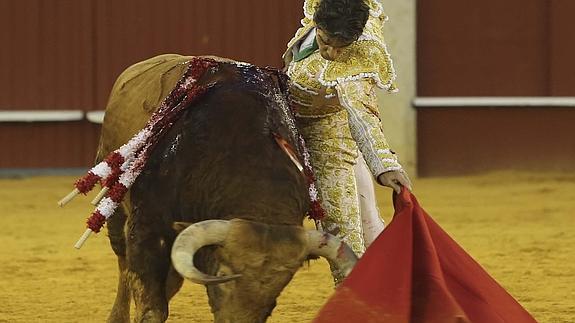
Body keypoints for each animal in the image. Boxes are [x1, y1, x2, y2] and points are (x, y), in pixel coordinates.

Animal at [97, 54, 358, 322]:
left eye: (280, 286)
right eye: (222, 275)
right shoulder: (146, 226)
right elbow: (150, 303)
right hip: (114, 205)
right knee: (122, 260)